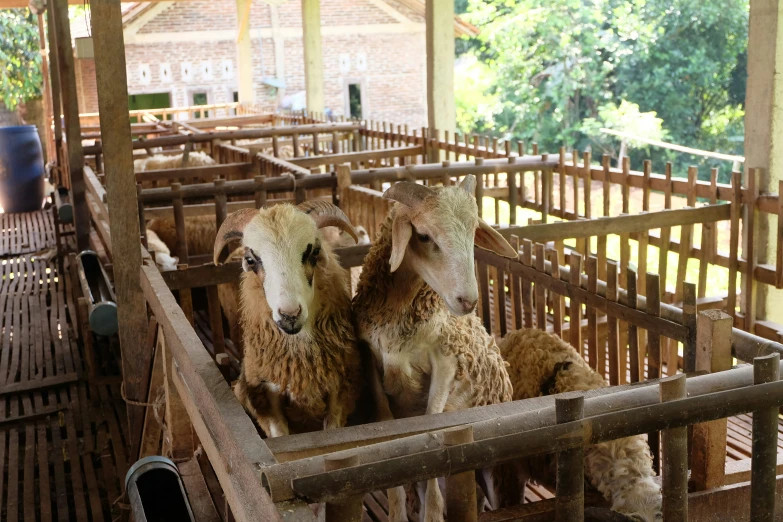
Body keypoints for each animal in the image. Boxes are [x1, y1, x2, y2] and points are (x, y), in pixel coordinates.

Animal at [354, 176, 520, 520]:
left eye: (473, 232)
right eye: (423, 235)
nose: (467, 300)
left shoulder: (445, 362)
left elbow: (432, 433)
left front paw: (431, 512)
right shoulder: (371, 362)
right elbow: (387, 438)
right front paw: (397, 512)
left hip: (497, 471)